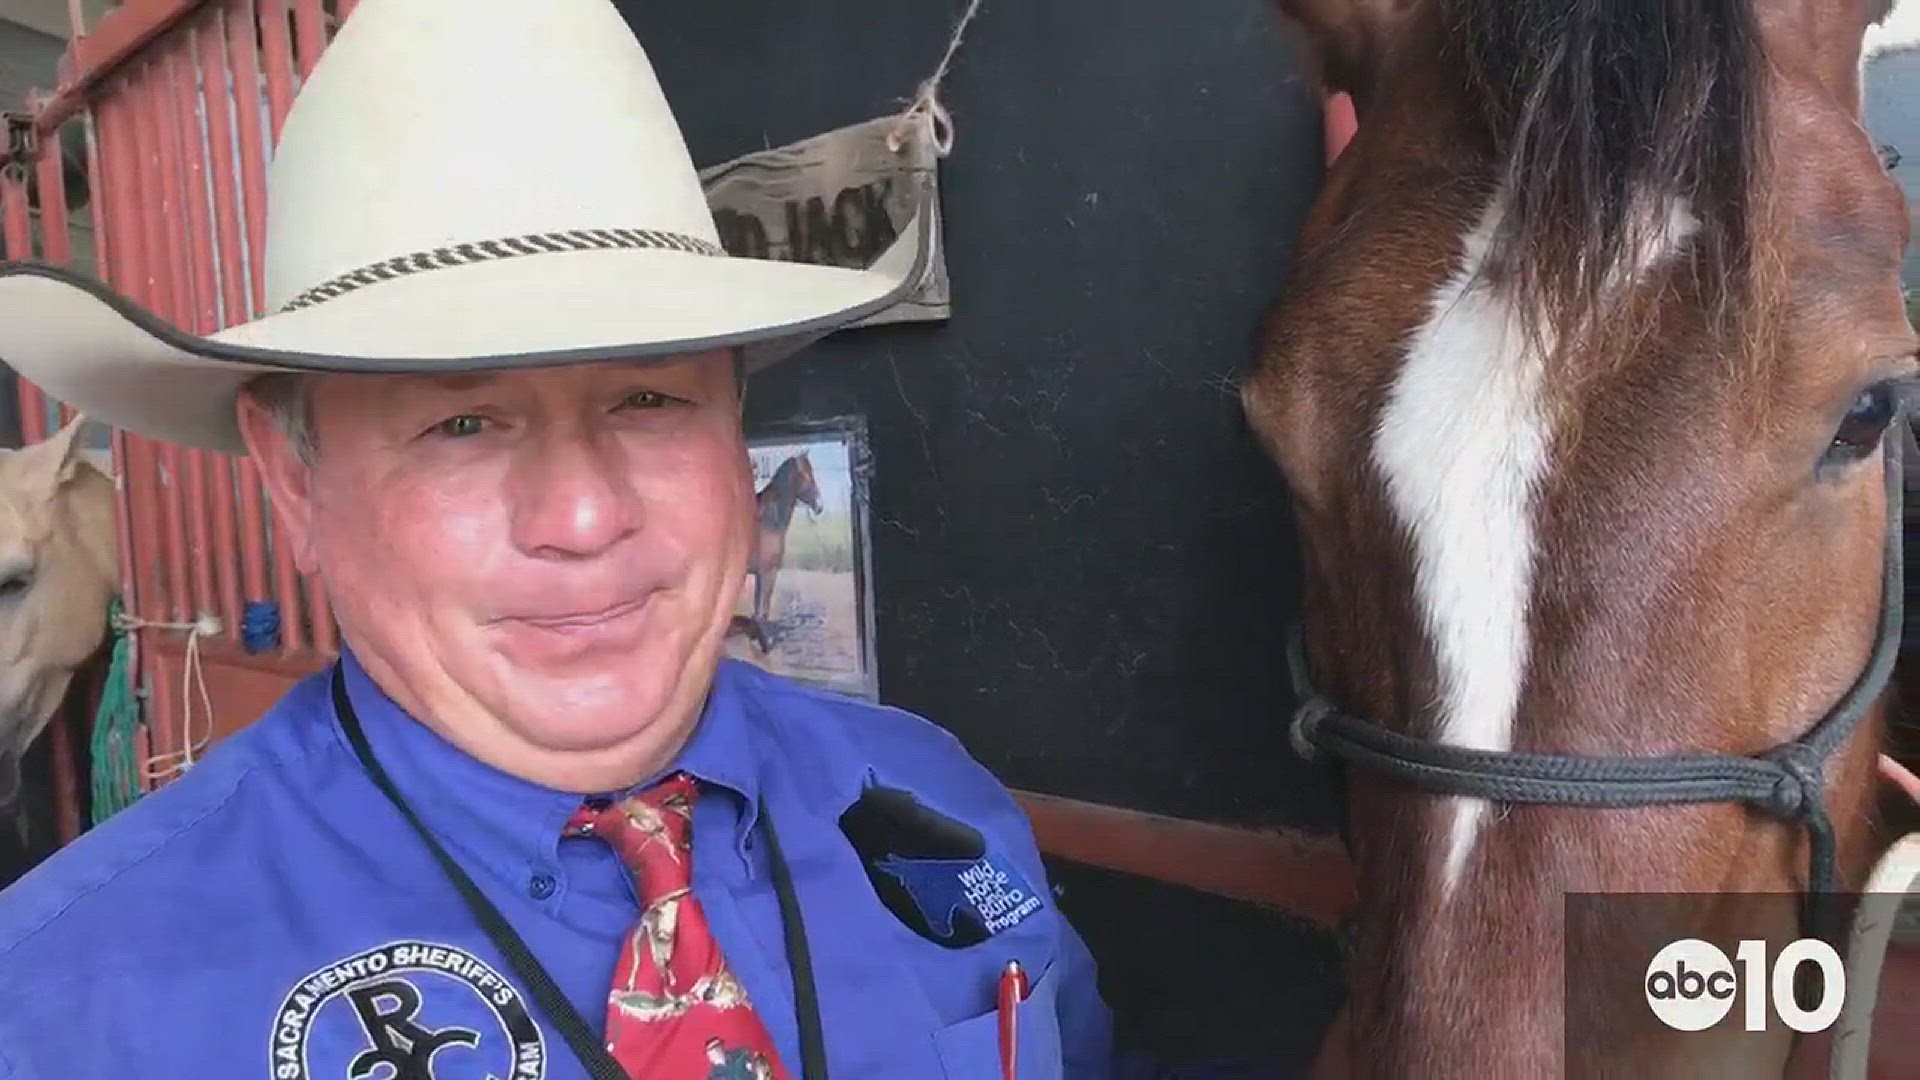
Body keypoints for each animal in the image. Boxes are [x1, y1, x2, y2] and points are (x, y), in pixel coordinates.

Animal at [729, 449, 821, 653]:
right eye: (806, 475)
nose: (819, 506)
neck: (768, 520)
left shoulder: (759, 574)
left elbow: (757, 609)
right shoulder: (769, 572)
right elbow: (764, 609)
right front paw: (765, 645)